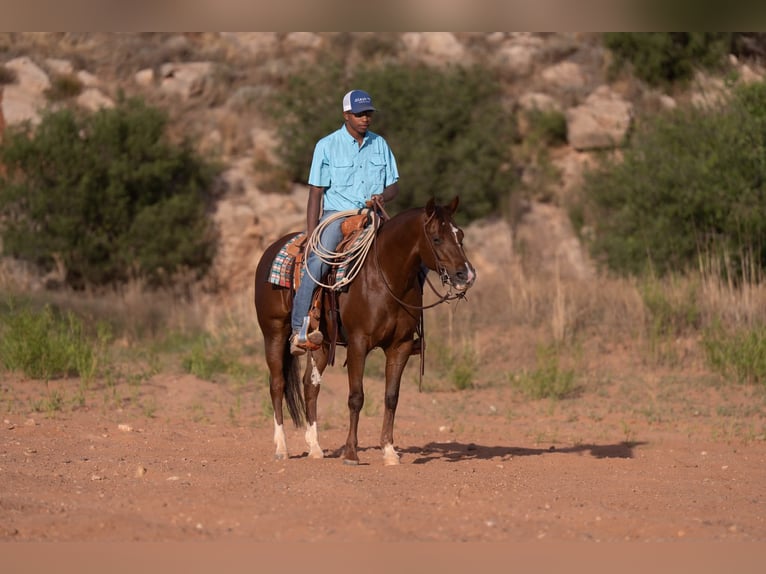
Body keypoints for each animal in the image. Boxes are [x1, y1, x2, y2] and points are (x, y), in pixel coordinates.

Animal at [253, 196, 476, 465]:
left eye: (460, 235)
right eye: (436, 238)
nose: (467, 275)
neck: (386, 279)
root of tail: (271, 249)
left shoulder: (400, 346)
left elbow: (391, 397)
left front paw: (389, 451)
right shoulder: (358, 344)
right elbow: (356, 397)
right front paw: (351, 453)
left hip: (321, 343)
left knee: (310, 385)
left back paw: (315, 448)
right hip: (274, 332)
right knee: (277, 384)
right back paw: (281, 448)